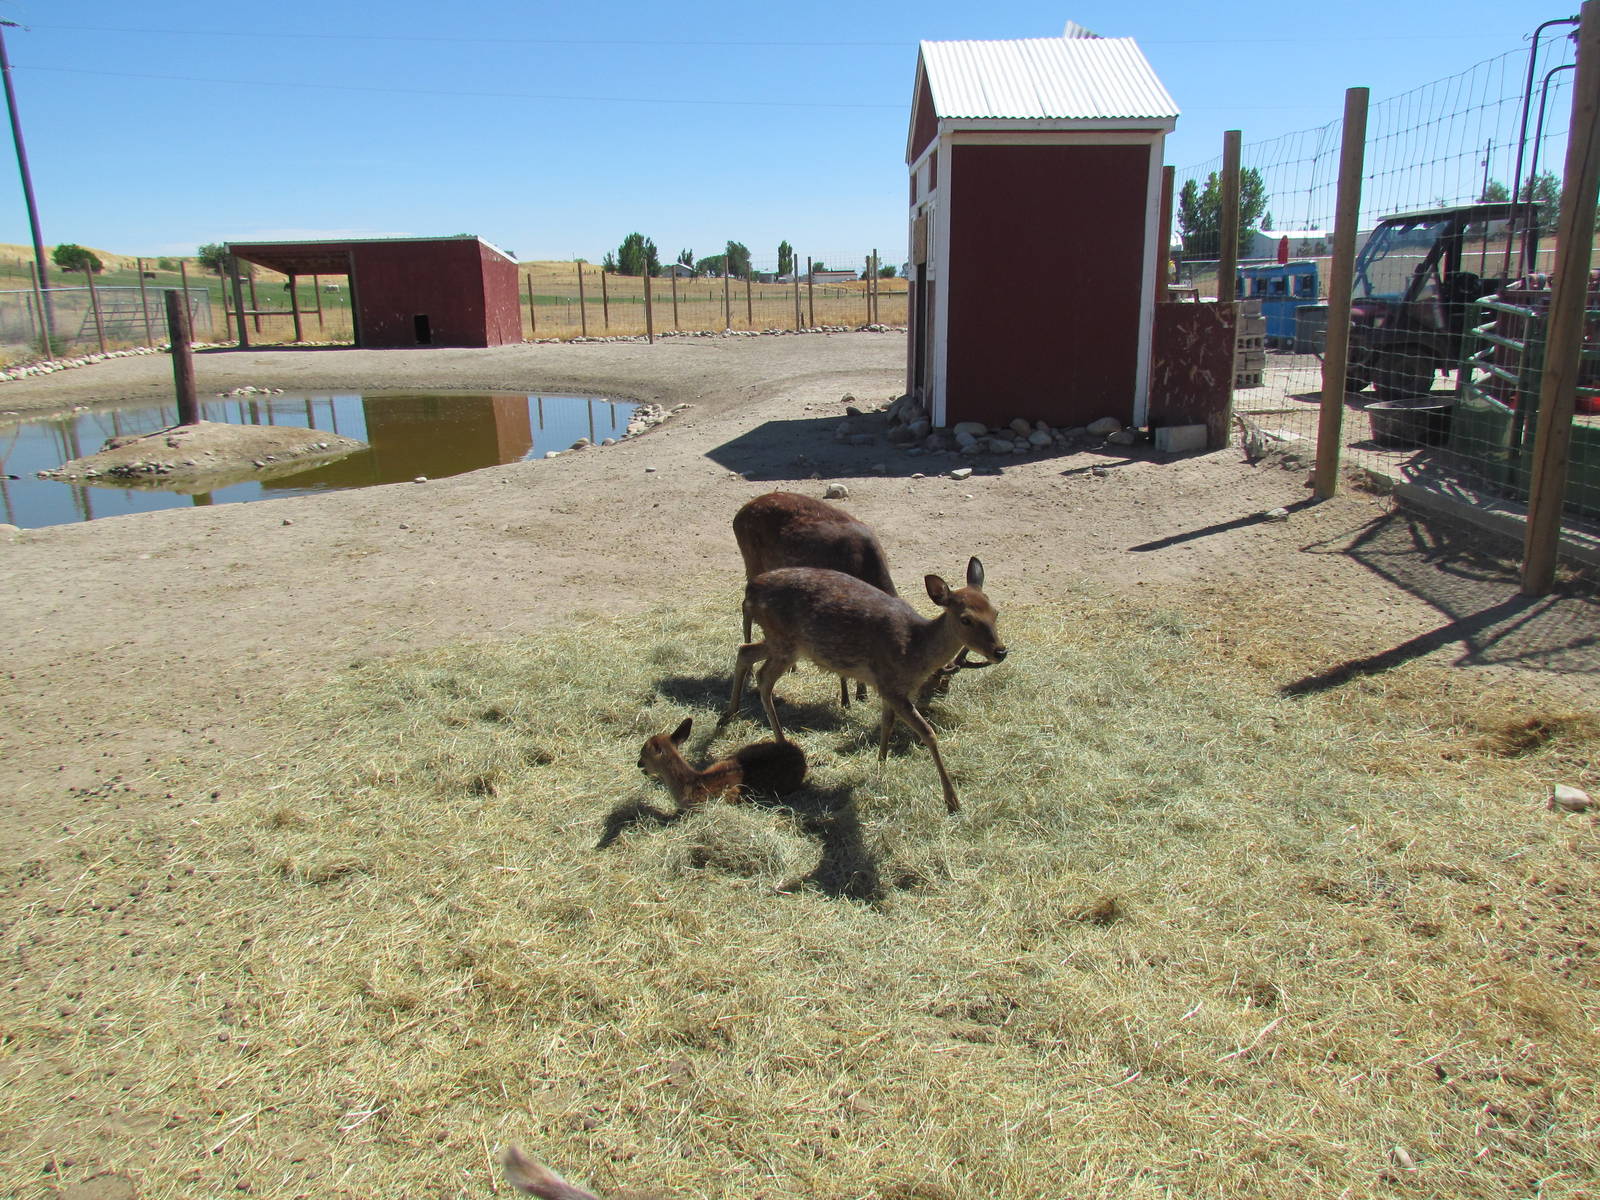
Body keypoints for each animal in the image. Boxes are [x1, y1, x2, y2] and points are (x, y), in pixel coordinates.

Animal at [721, 557, 1005, 814]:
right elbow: (928, 732)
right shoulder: (890, 684)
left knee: (745, 651)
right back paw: (780, 739)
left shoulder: (891, 687)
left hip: (779, 641)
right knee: (763, 676)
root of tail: (751, 588)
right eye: (966, 619)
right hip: (785, 642)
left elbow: (887, 723)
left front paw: (881, 763)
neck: (914, 650)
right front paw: (952, 802)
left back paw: (730, 714)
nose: (1000, 651)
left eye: (995, 612)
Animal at [732, 491, 896, 708]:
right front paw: (846, 699)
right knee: (745, 605)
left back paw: (792, 666)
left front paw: (861, 694)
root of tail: (738, 515)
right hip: (752, 559)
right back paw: (751, 672)